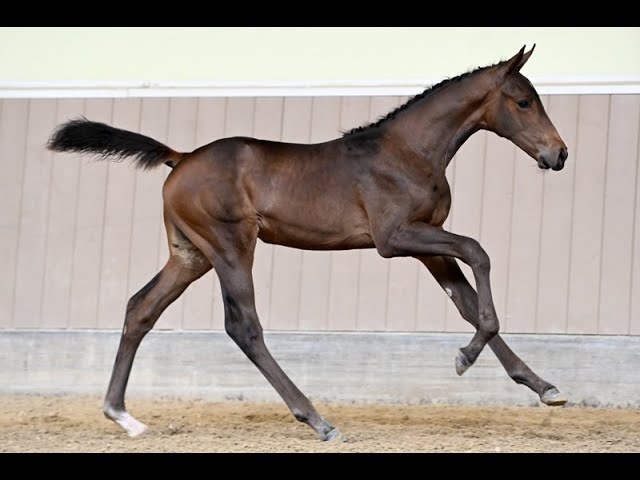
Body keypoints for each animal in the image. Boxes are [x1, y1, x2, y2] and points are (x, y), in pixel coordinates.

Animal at [50, 47, 568, 440]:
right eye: (524, 101)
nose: (559, 154)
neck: (406, 152)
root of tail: (180, 158)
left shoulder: (427, 243)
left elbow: (466, 302)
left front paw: (542, 386)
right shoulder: (395, 237)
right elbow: (479, 252)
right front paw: (464, 358)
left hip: (190, 255)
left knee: (141, 308)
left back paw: (123, 416)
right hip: (230, 246)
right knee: (243, 327)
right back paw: (318, 420)